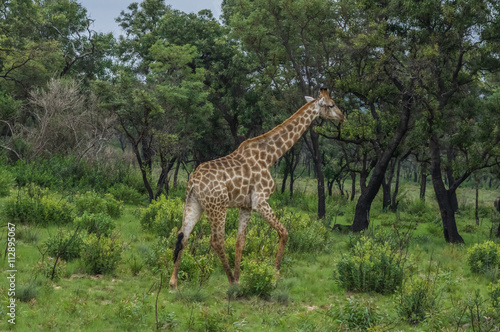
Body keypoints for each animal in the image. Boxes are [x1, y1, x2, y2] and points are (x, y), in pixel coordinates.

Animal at [170, 87, 346, 288]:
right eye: (331, 104)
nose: (343, 116)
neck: (270, 156)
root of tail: (194, 181)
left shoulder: (246, 205)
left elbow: (240, 241)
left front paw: (240, 277)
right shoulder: (260, 200)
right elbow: (284, 232)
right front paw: (274, 275)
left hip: (194, 204)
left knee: (183, 235)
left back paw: (173, 283)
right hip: (218, 206)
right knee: (216, 240)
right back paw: (230, 281)